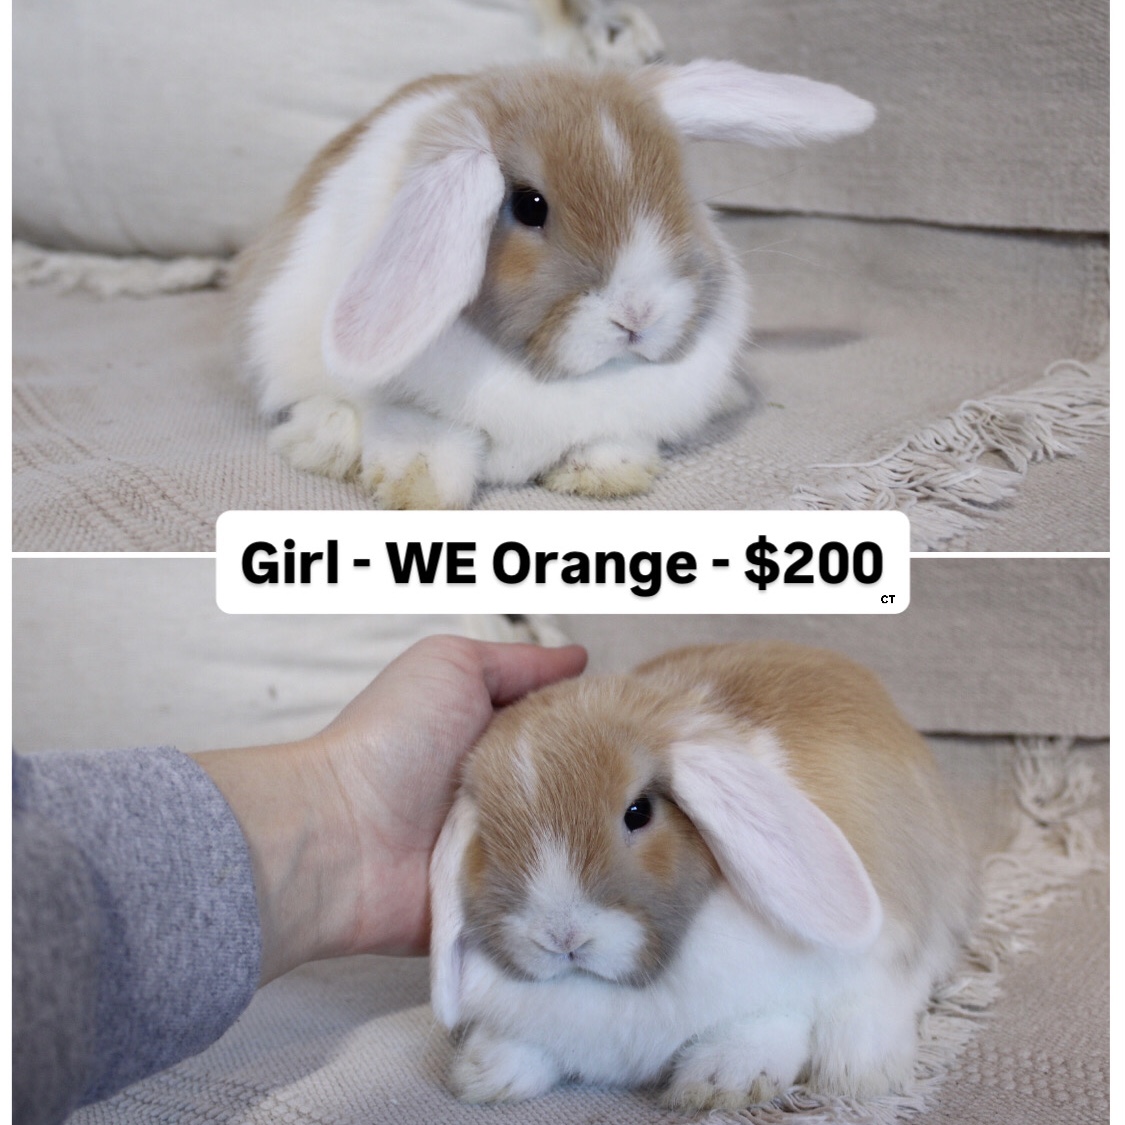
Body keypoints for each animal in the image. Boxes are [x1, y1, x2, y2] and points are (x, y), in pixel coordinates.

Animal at [233, 62, 875, 508]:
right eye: (528, 205)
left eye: (682, 188)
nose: (638, 315)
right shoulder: (403, 406)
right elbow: (419, 436)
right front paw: (419, 489)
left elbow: (611, 439)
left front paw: (607, 475)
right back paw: (326, 439)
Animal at [430, 641, 976, 1109]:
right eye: (488, 837)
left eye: (638, 811)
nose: (562, 937)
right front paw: (485, 1072)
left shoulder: (783, 995)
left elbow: (769, 1022)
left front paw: (719, 1082)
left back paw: (858, 1070)